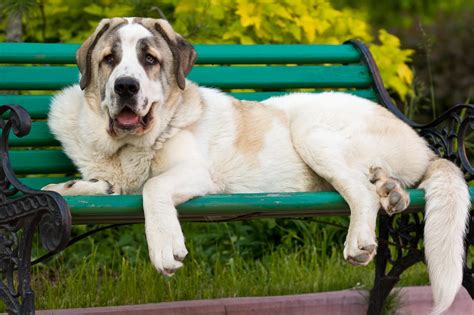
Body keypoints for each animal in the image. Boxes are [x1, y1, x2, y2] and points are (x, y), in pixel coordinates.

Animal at [43, 17, 470, 315]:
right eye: (110, 59)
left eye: (150, 60)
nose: (125, 86)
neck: (126, 148)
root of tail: (420, 142)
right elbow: (77, 186)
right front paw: (71, 188)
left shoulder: (194, 173)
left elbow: (153, 187)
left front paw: (165, 246)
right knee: (376, 184)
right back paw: (392, 192)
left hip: (311, 131)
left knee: (359, 192)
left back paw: (362, 235)